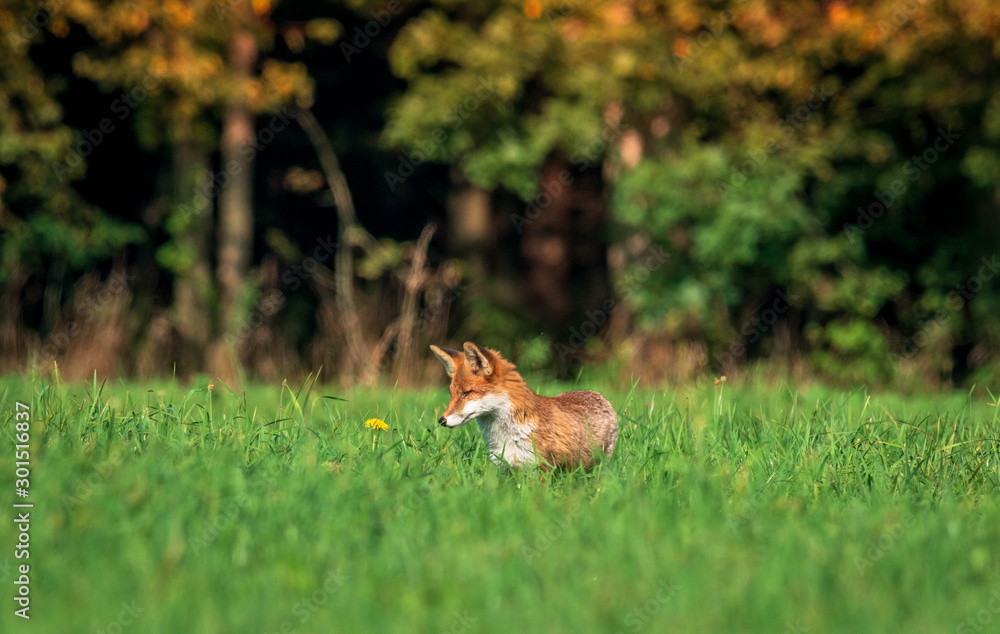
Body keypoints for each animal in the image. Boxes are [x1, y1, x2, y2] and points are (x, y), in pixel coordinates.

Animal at [430, 342, 618, 470]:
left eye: (466, 393)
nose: (441, 420)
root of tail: (597, 394)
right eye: (452, 394)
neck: (505, 436)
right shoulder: (505, 468)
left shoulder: (542, 467)